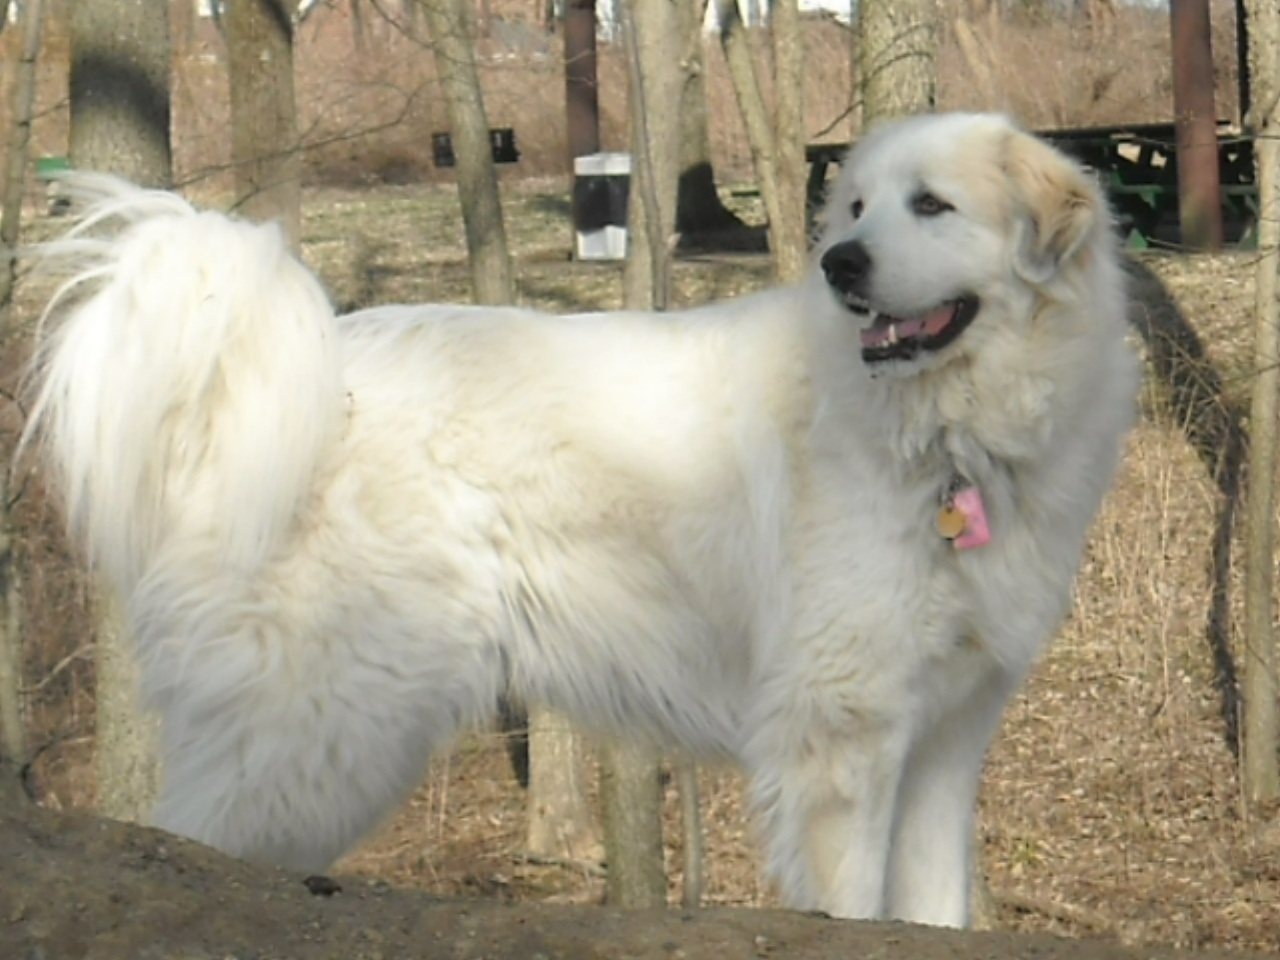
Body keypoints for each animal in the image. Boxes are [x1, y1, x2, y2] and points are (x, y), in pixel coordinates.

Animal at [22, 110, 1141, 926]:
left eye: (932, 206)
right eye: (858, 208)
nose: (842, 265)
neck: (946, 434)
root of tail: (293, 380)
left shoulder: (944, 738)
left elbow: (930, 908)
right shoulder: (843, 739)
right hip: (315, 733)